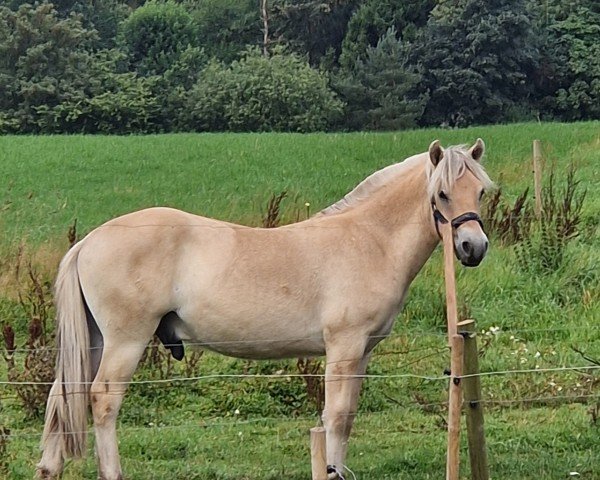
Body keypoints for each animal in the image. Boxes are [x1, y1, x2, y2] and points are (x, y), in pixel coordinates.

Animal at [36, 137, 492, 478]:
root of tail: (88, 242)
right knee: (103, 401)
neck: (368, 240)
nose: (474, 247)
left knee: (63, 395)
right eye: (442, 193)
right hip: (125, 343)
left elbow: (346, 416)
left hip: (95, 342)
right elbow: (335, 415)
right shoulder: (343, 349)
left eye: (481, 191)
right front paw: (330, 470)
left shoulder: (361, 352)